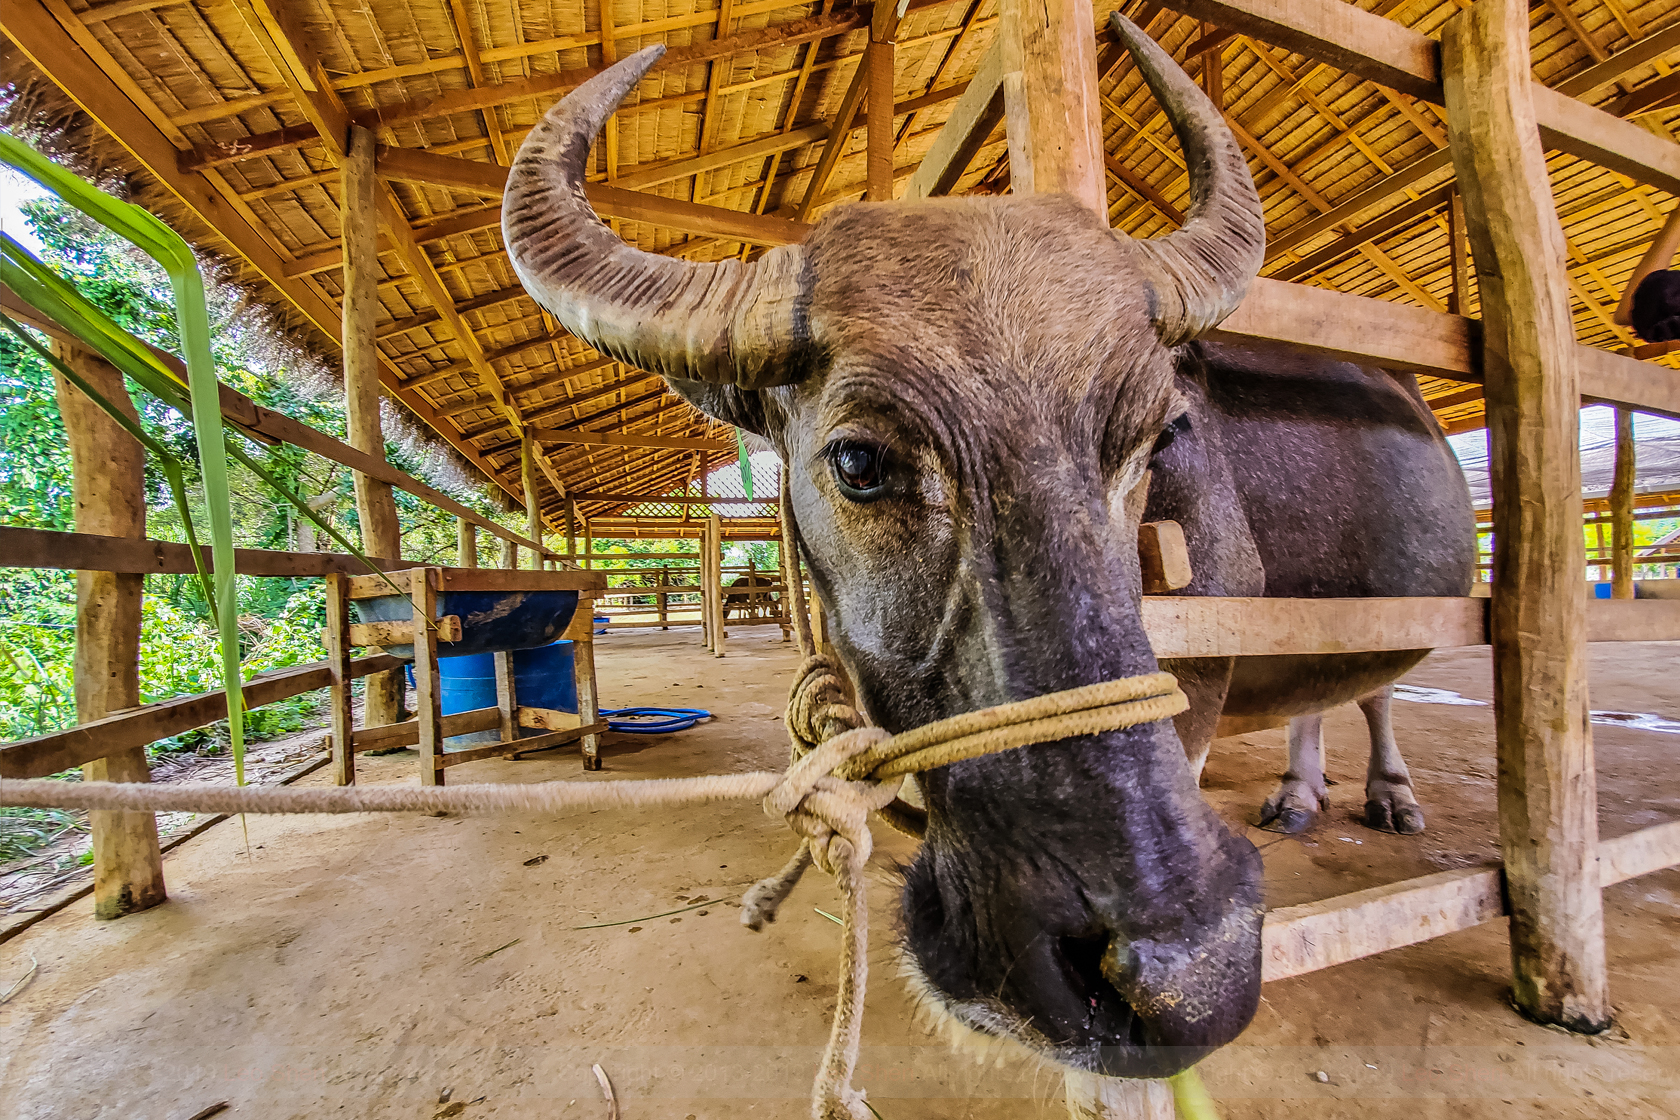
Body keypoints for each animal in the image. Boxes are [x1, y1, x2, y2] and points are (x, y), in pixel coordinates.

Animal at [500, 15, 1471, 1088]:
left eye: (1157, 438)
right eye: (858, 459)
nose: (1187, 971)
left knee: (1373, 685)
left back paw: (1386, 796)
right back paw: (1298, 797)